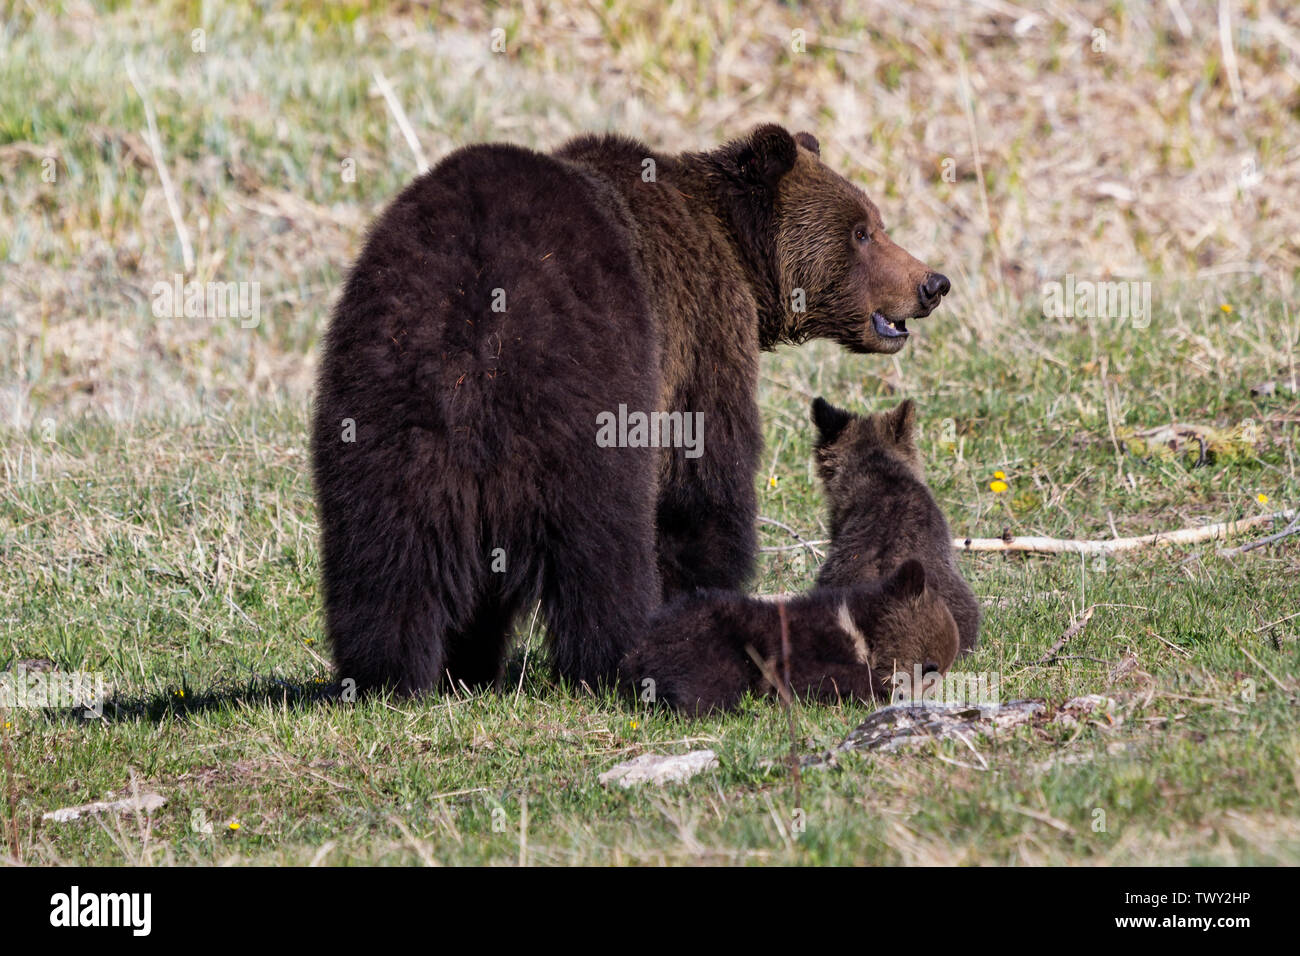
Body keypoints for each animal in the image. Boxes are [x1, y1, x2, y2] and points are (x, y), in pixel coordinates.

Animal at [311, 124, 950, 695]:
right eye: (862, 231)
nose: (933, 283)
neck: (739, 255)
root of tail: (475, 304)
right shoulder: (701, 335)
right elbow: (700, 483)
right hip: (586, 384)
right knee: (602, 538)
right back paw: (616, 656)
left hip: (383, 386)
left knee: (385, 547)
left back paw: (393, 673)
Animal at [620, 559, 958, 715]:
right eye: (930, 667)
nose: (913, 699)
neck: (860, 632)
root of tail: (635, 655)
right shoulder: (799, 643)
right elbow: (810, 676)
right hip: (710, 641)